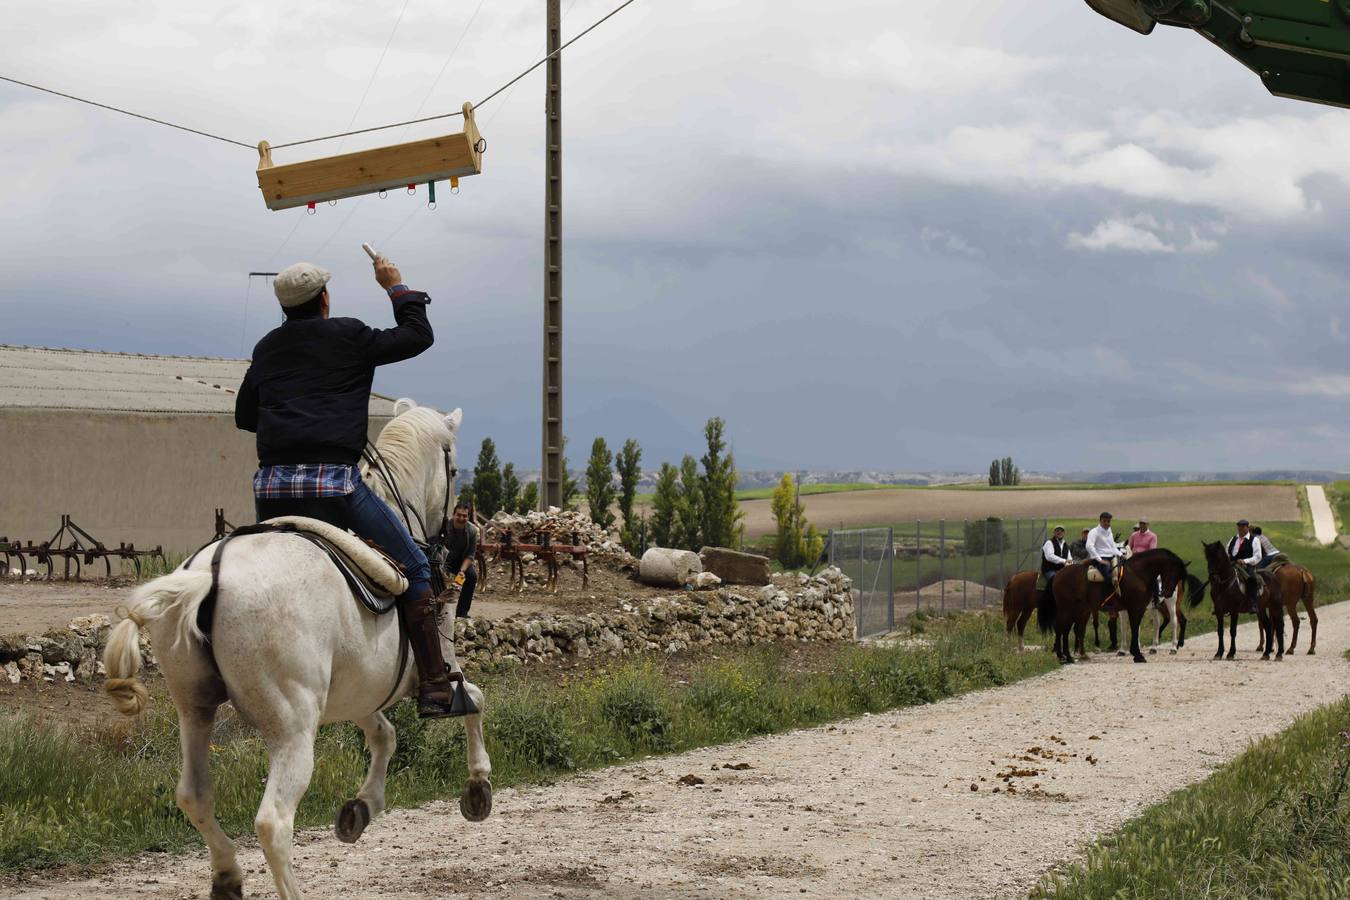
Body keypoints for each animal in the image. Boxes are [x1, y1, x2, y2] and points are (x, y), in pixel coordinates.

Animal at [101, 404, 491, 895]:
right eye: (454, 469)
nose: (452, 537)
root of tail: (209, 574)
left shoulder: (359, 691)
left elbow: (383, 734)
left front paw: (362, 806)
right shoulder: (439, 666)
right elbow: (472, 699)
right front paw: (478, 785)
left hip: (194, 710)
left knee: (194, 796)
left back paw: (227, 875)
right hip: (292, 730)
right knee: (273, 822)